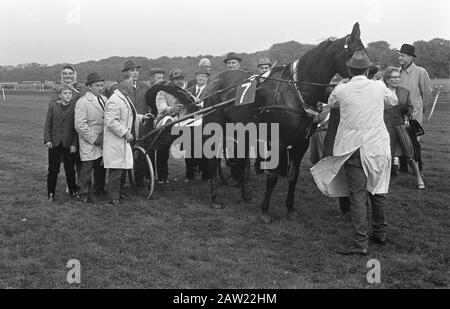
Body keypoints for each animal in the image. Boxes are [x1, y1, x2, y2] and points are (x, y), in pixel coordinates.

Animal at [203, 22, 366, 221]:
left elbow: (293, 176)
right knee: (213, 160)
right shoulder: (277, 141)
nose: (370, 72)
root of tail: (214, 82)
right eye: (355, 52)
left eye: (364, 49)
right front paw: (265, 210)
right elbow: (272, 177)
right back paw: (214, 198)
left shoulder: (301, 143)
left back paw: (245, 193)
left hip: (239, 130)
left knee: (240, 160)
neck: (296, 91)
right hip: (216, 128)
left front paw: (289, 208)